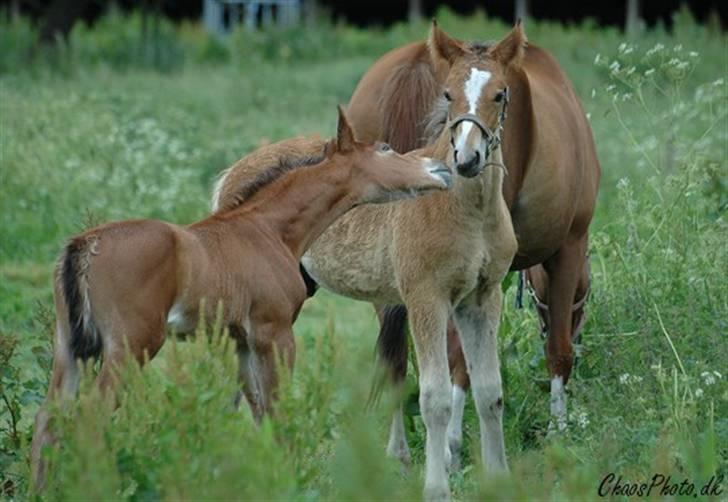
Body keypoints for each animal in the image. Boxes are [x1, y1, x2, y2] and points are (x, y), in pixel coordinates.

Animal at [348, 21, 604, 450]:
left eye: (499, 94)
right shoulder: (568, 247)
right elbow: (557, 350)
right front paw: (559, 429)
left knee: (395, 359)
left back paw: (398, 450)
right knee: (454, 359)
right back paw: (450, 442)